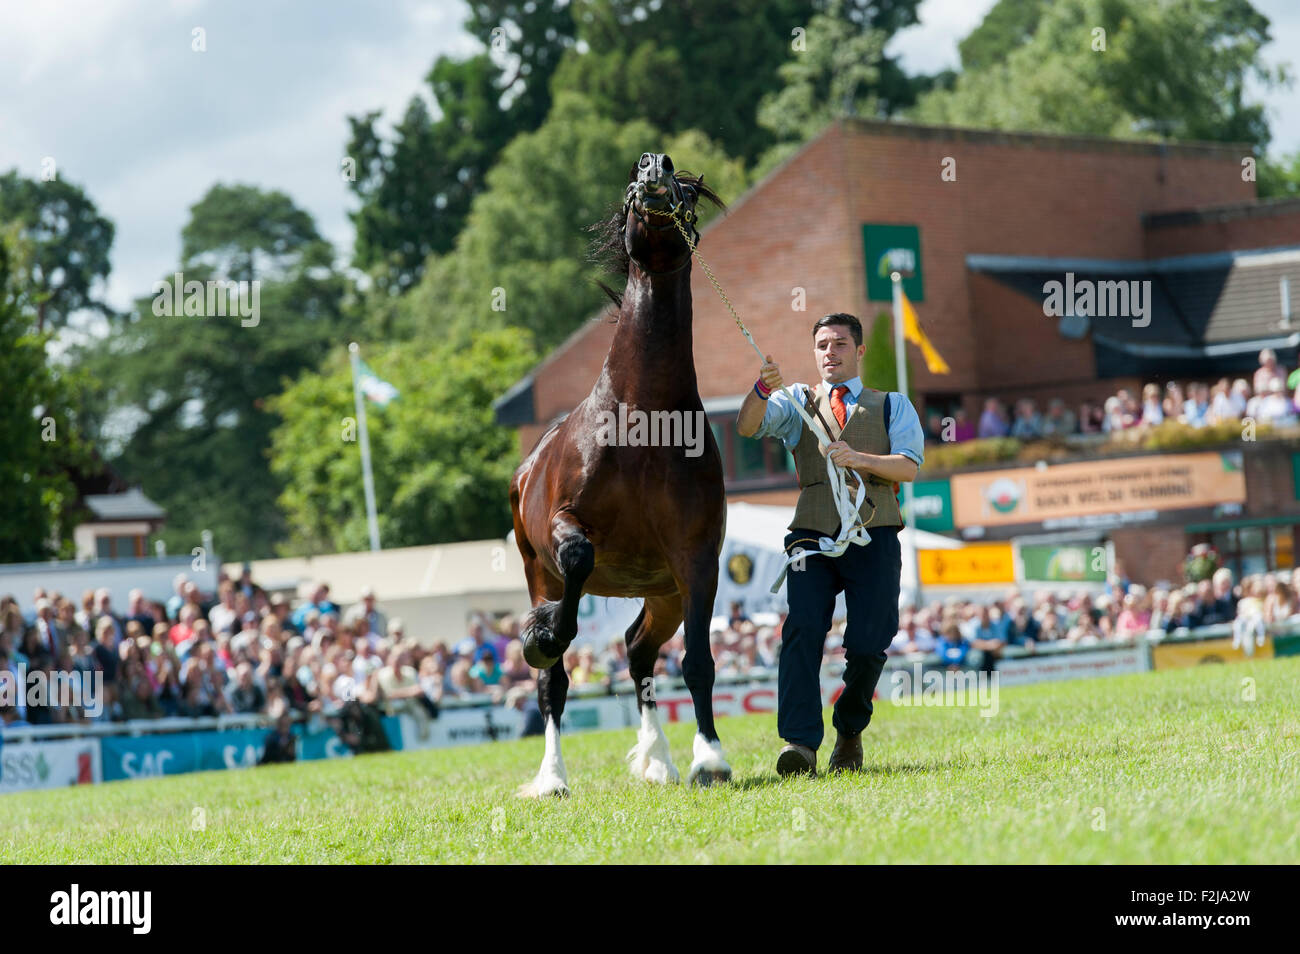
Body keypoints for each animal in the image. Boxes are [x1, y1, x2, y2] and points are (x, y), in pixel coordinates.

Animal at [509, 153, 733, 795]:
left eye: (687, 193)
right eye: (634, 182)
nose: (654, 164)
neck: (643, 423)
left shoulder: (695, 558)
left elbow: (698, 661)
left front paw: (710, 758)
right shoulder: (567, 528)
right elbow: (579, 557)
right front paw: (543, 636)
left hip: (662, 592)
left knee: (637, 650)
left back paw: (658, 760)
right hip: (539, 571)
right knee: (554, 683)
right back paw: (553, 776)